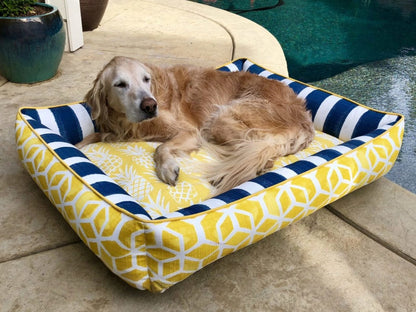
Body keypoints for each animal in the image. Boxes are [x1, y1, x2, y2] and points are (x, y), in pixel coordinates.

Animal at [78, 55, 314, 193]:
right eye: (120, 84)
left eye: (146, 79)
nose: (150, 106)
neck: (127, 124)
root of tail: (304, 119)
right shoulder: (112, 131)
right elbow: (88, 138)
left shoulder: (188, 131)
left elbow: (160, 148)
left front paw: (167, 168)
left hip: (221, 119)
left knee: (257, 151)